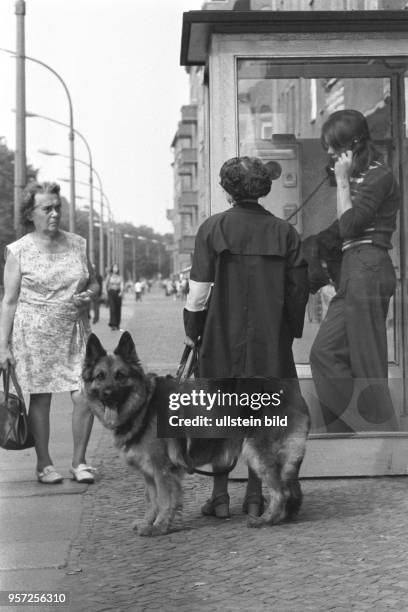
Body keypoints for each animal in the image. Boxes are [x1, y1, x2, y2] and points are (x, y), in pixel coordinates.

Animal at [82, 332, 310, 536]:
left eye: (120, 376)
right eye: (100, 377)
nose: (108, 394)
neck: (144, 404)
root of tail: (291, 393)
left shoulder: (161, 470)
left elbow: (163, 501)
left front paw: (159, 527)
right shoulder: (149, 473)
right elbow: (151, 500)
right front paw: (149, 523)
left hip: (257, 453)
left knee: (281, 492)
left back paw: (266, 520)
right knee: (291, 488)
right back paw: (286, 516)